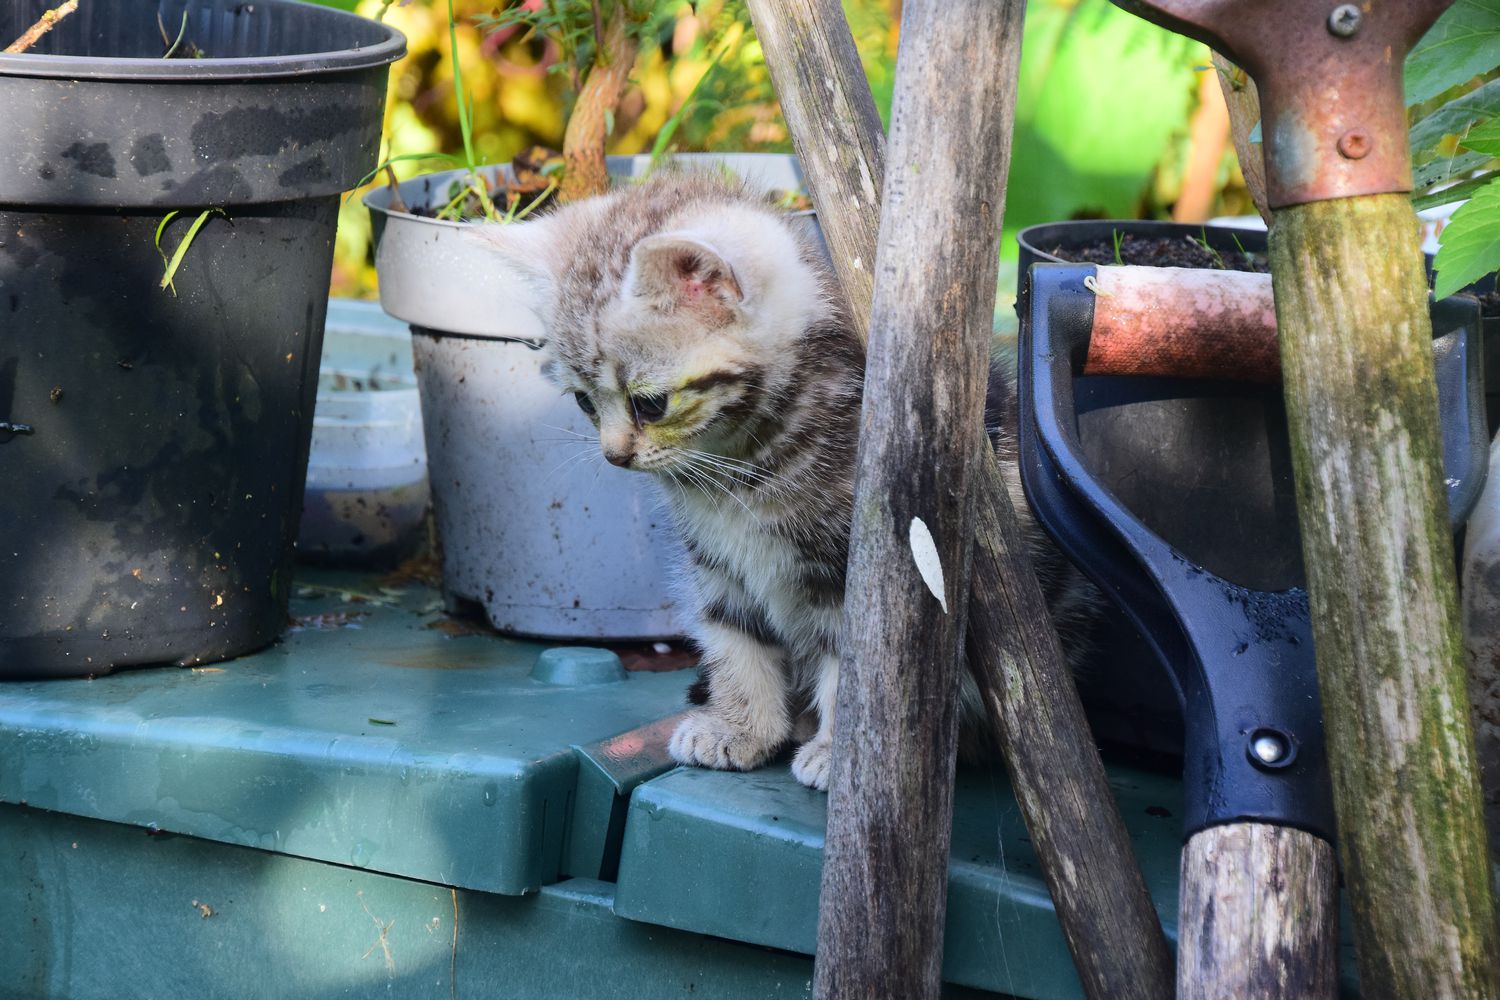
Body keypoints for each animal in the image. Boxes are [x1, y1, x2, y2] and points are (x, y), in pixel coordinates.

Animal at [483, 170, 1094, 790]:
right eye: (584, 401)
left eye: (650, 404)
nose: (614, 457)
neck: (740, 469)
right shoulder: (718, 563)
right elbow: (733, 634)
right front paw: (740, 727)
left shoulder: (853, 570)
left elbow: (852, 668)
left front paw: (839, 754)